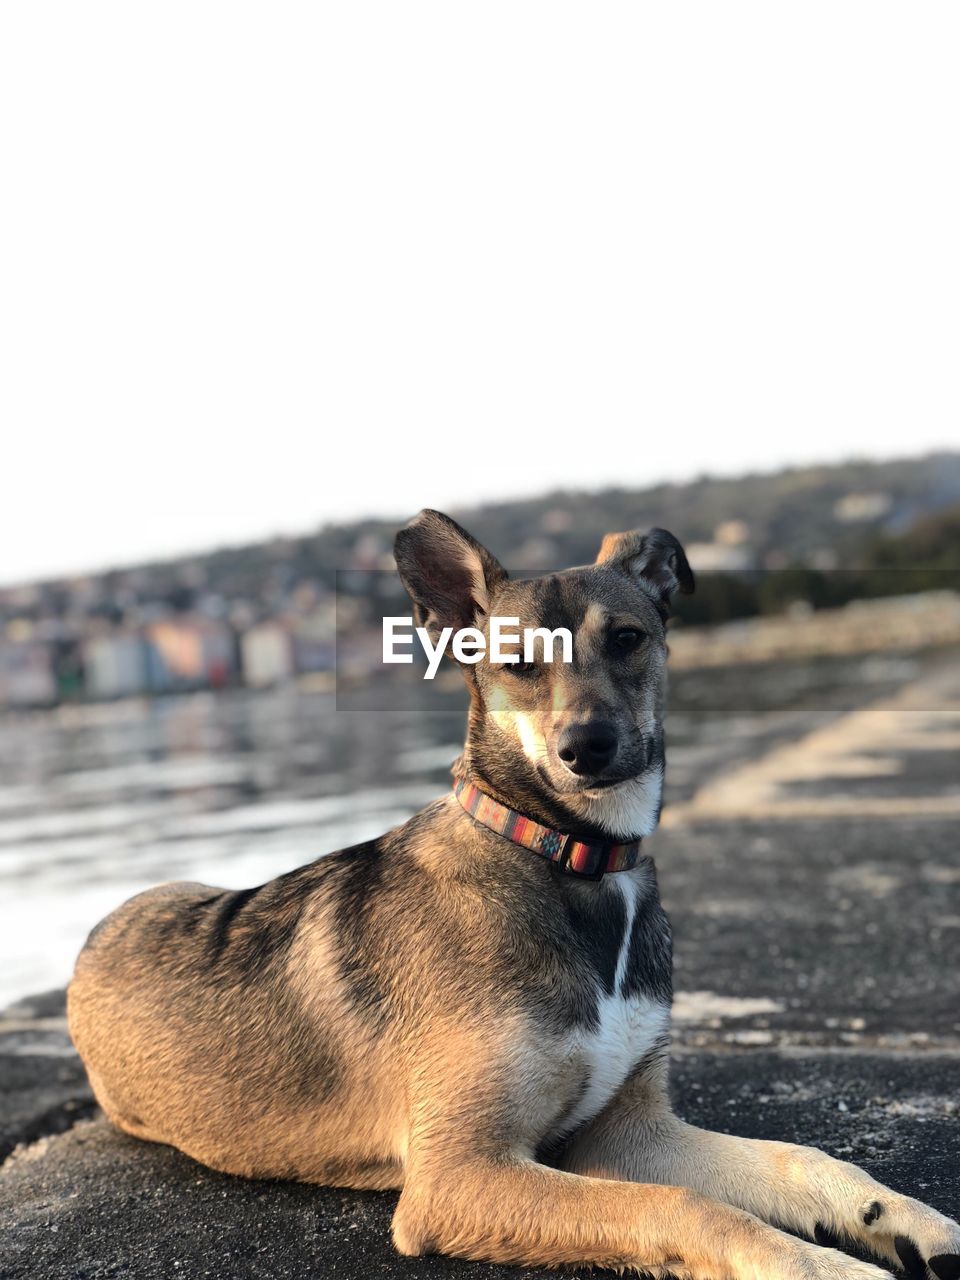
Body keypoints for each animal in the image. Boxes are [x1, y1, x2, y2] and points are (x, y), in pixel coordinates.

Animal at [69, 509, 960, 1280]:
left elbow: (800, 1159)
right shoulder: (459, 1175)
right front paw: (819, 1267)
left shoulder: (630, 1131)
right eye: (517, 663)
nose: (586, 747)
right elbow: (683, 1207)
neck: (566, 858)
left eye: (628, 639)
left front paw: (903, 1220)